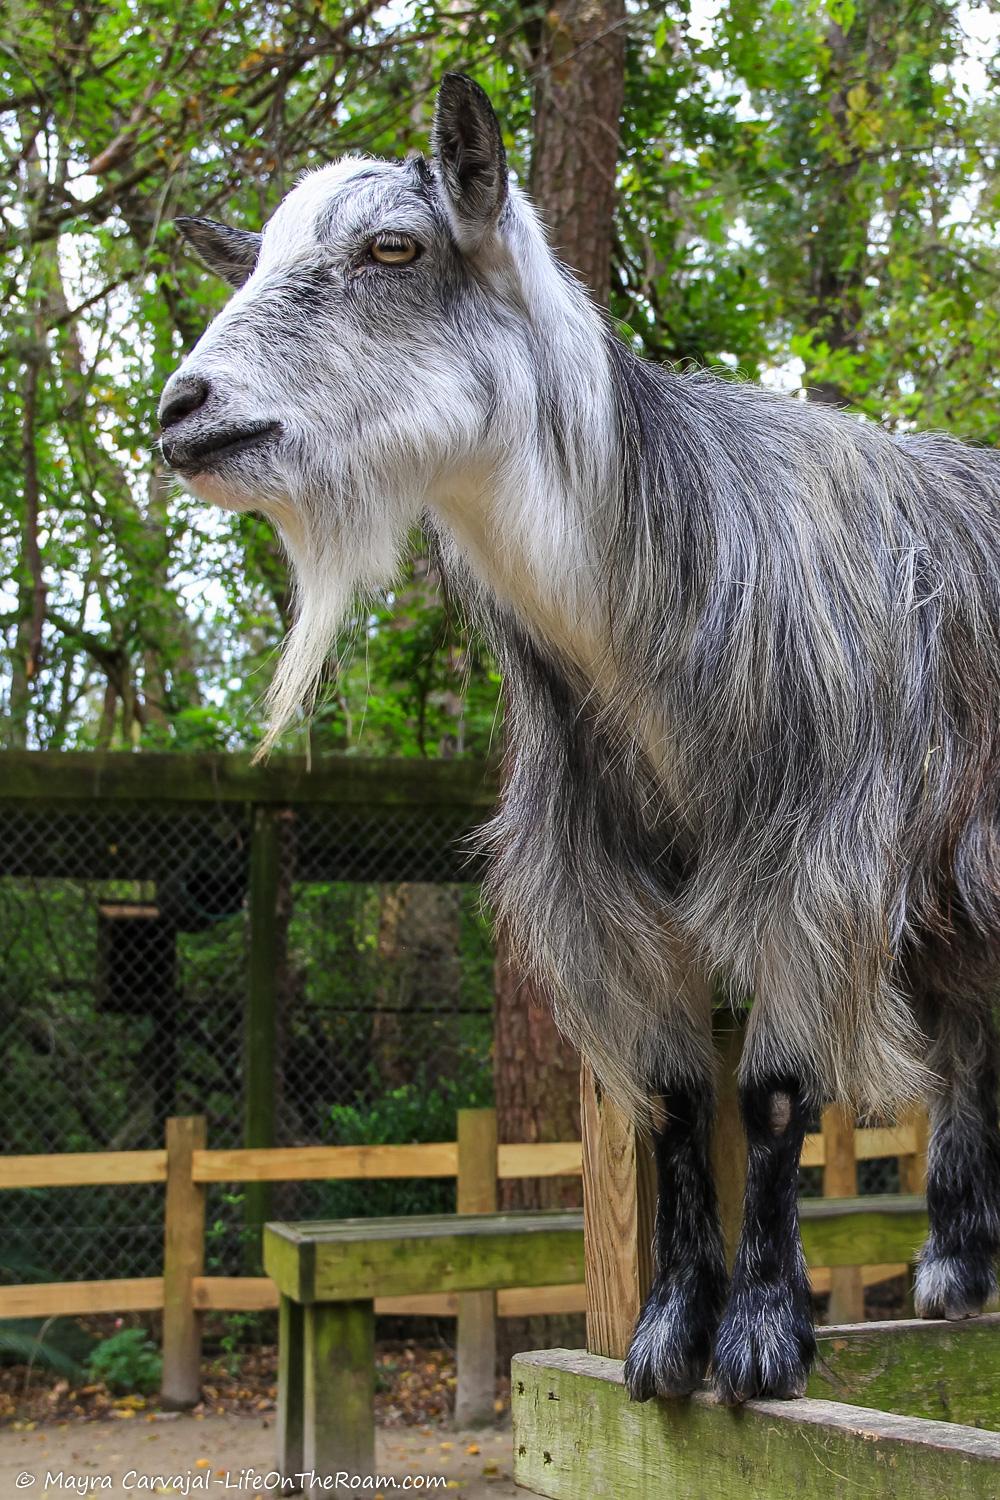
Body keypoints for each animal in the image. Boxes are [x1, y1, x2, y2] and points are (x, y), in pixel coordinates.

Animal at [160, 73, 1000, 1404]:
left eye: (391, 248)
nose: (183, 412)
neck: (657, 593)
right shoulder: (597, 883)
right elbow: (670, 1101)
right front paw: (665, 1334)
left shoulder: (814, 858)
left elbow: (769, 1096)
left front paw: (762, 1334)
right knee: (970, 1024)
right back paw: (956, 1267)